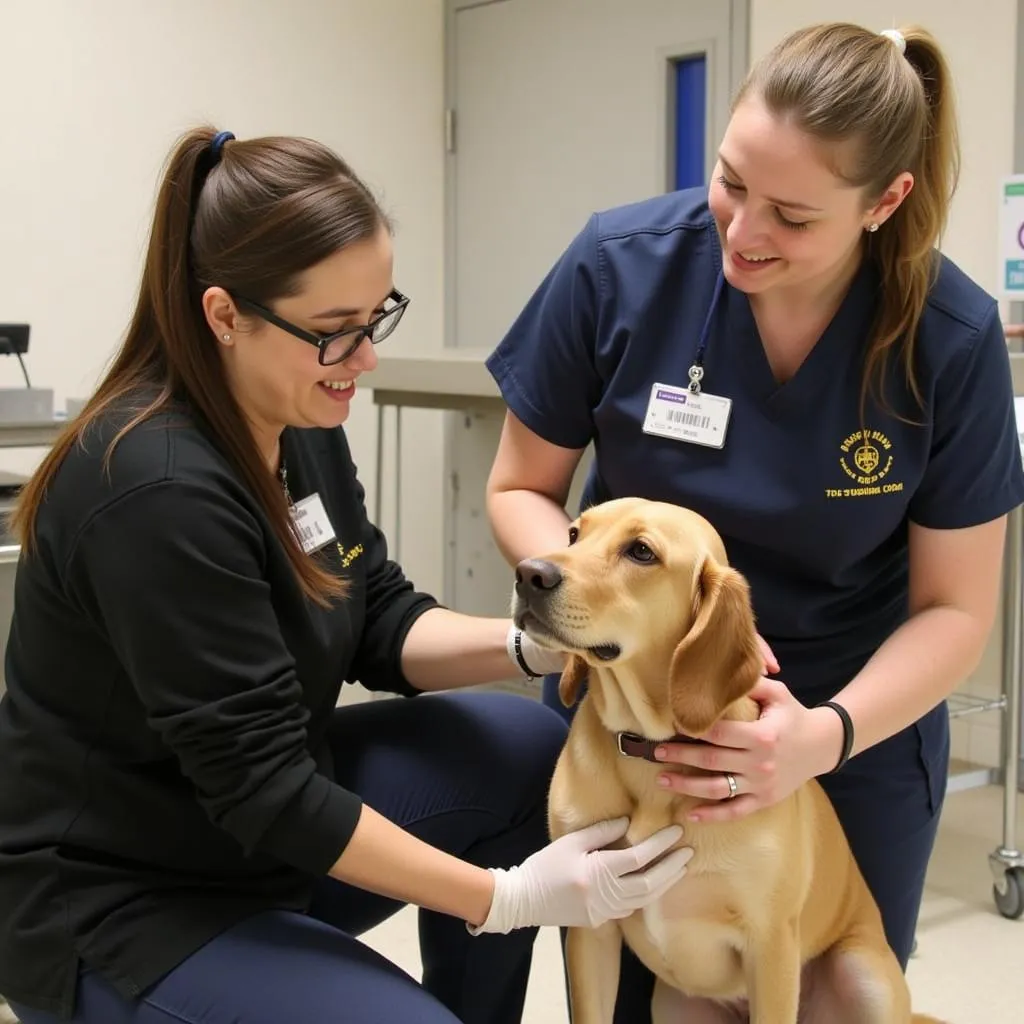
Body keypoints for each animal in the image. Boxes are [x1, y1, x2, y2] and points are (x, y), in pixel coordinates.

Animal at [512, 497, 942, 1024]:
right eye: (574, 534)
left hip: (864, 974)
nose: (529, 573)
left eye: (641, 551)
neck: (648, 748)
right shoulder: (591, 924)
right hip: (672, 1005)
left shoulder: (771, 946)